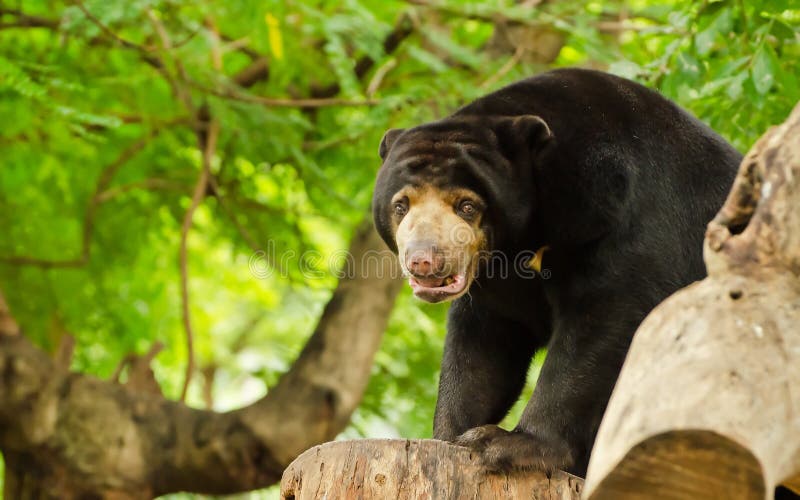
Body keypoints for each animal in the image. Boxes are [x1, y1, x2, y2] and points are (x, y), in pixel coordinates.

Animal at [372, 67, 740, 476]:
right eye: (401, 205)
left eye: (467, 206)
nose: (425, 261)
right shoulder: (495, 281)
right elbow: (482, 347)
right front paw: (451, 436)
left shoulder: (626, 222)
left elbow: (607, 321)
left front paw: (505, 444)